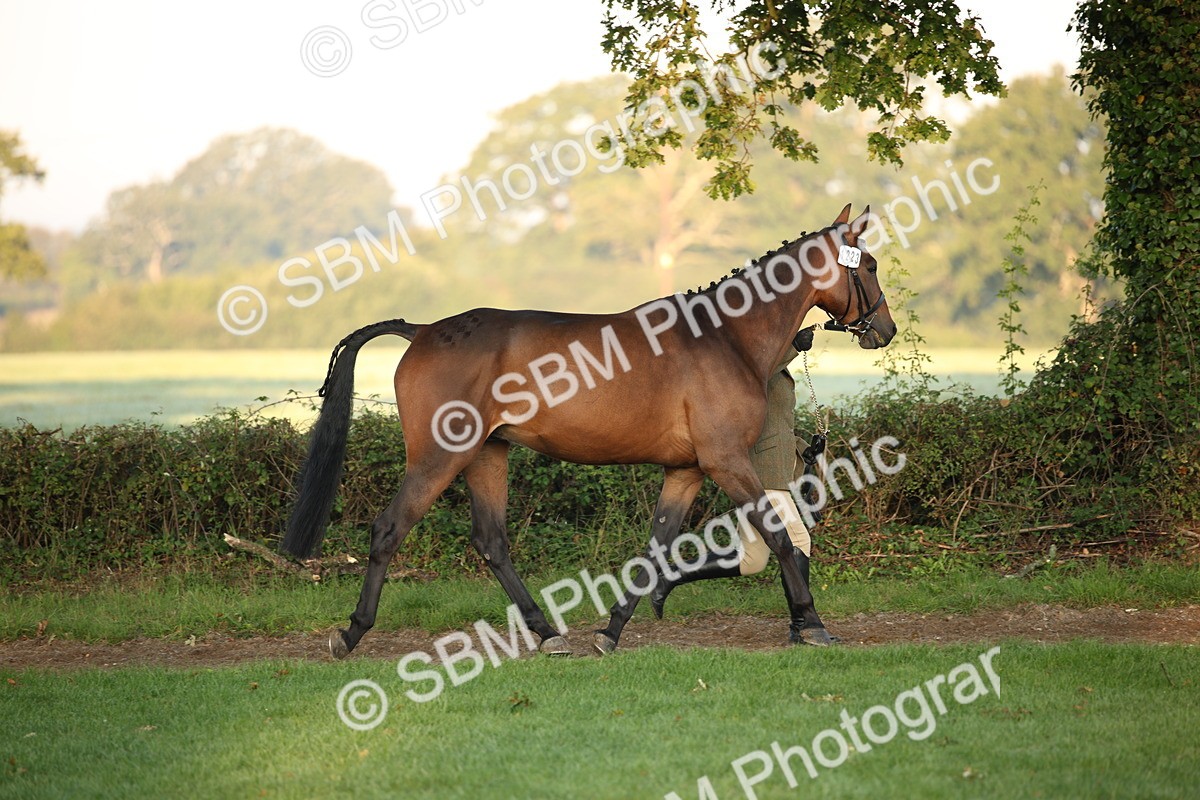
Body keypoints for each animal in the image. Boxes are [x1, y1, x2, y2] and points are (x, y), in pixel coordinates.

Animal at [281, 203, 895, 659]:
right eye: (867, 266)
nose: (885, 330)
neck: (725, 335)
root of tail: (424, 329)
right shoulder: (727, 461)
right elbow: (778, 536)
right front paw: (811, 621)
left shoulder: (687, 470)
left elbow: (656, 549)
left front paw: (612, 630)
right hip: (438, 458)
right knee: (390, 530)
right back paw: (351, 632)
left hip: (487, 455)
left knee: (492, 542)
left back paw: (548, 633)